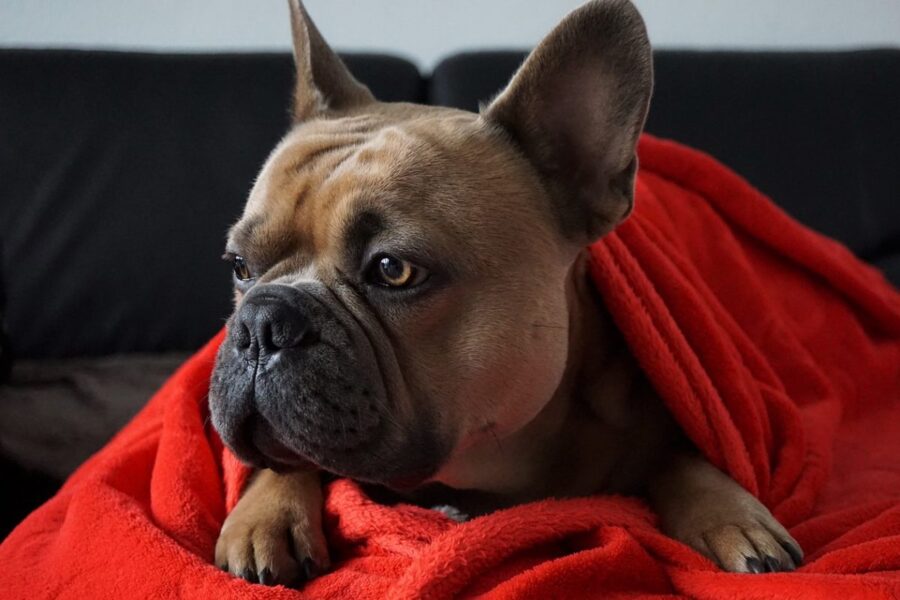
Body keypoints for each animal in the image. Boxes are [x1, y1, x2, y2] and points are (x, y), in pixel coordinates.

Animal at [209, 0, 800, 584]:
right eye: (239, 265)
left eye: (393, 270)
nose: (262, 322)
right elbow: (282, 463)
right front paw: (267, 515)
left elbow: (681, 456)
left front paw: (731, 515)